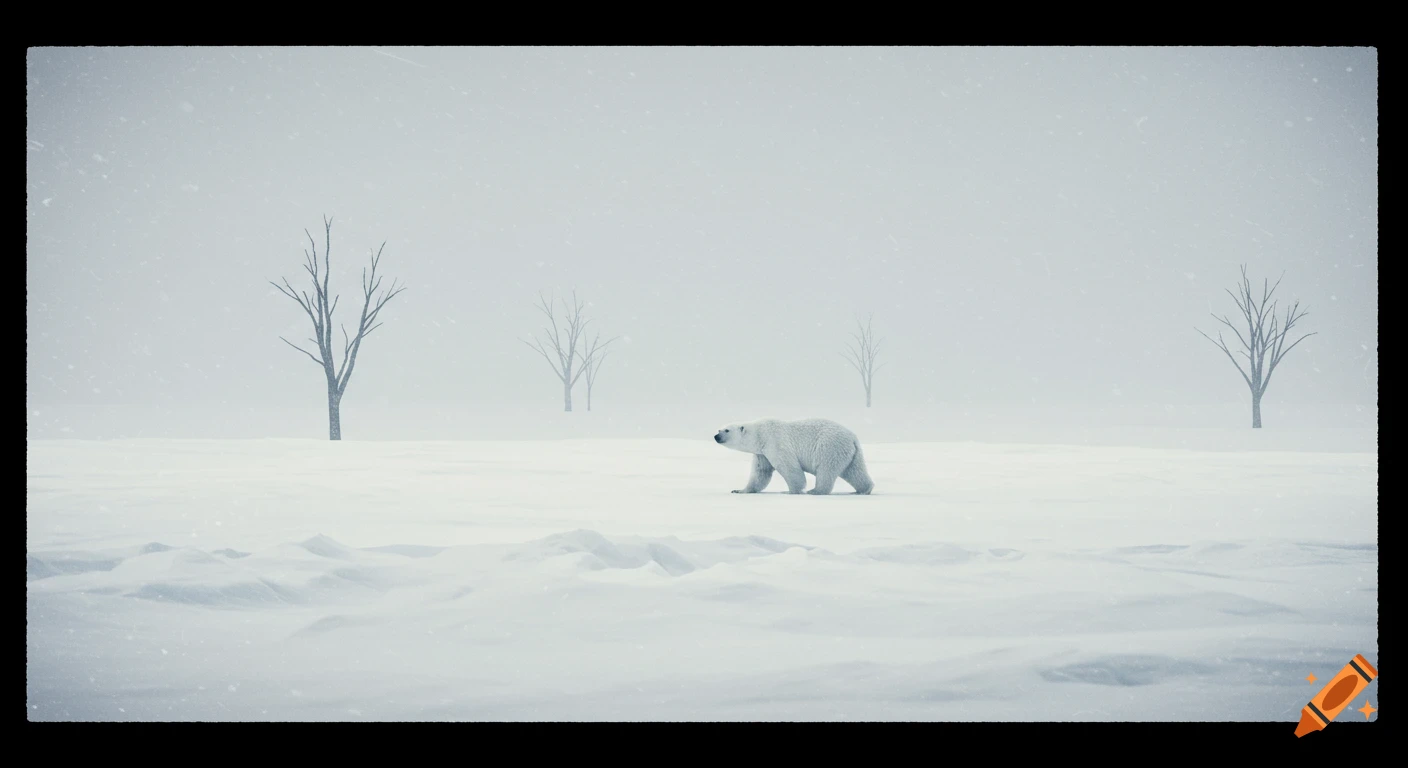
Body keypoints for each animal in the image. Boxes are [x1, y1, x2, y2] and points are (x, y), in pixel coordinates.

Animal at [713, 417, 874, 495]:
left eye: (726, 430)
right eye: (719, 429)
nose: (716, 436)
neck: (759, 434)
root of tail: (853, 437)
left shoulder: (775, 442)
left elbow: (789, 467)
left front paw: (791, 490)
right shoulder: (761, 453)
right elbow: (760, 473)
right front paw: (739, 490)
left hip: (829, 447)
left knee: (826, 470)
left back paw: (815, 491)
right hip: (851, 453)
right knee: (855, 471)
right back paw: (863, 489)